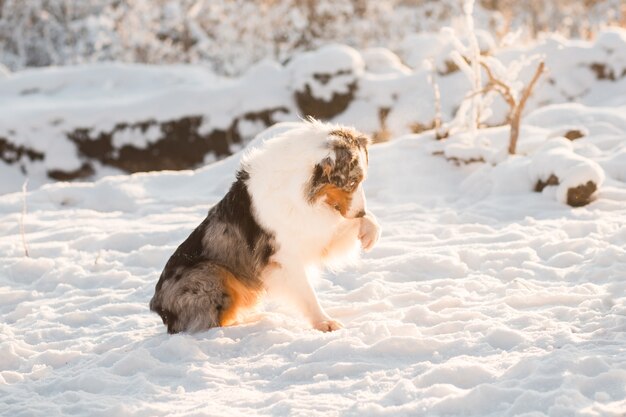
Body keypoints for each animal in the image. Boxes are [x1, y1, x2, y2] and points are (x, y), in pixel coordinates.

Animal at [148, 119, 378, 332]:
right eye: (352, 182)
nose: (361, 211)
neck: (301, 191)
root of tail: (157, 306)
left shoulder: (314, 232)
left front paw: (369, 231)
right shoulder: (283, 257)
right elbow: (307, 293)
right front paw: (324, 322)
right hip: (212, 274)